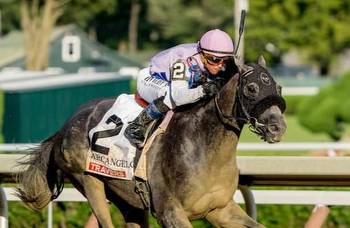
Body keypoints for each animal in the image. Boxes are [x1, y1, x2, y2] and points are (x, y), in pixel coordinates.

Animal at [15, 56, 288, 227]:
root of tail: (64, 128)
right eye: (251, 88)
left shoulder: (219, 209)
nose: (278, 127)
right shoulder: (171, 212)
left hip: (127, 198)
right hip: (89, 181)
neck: (204, 146)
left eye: (278, 87)